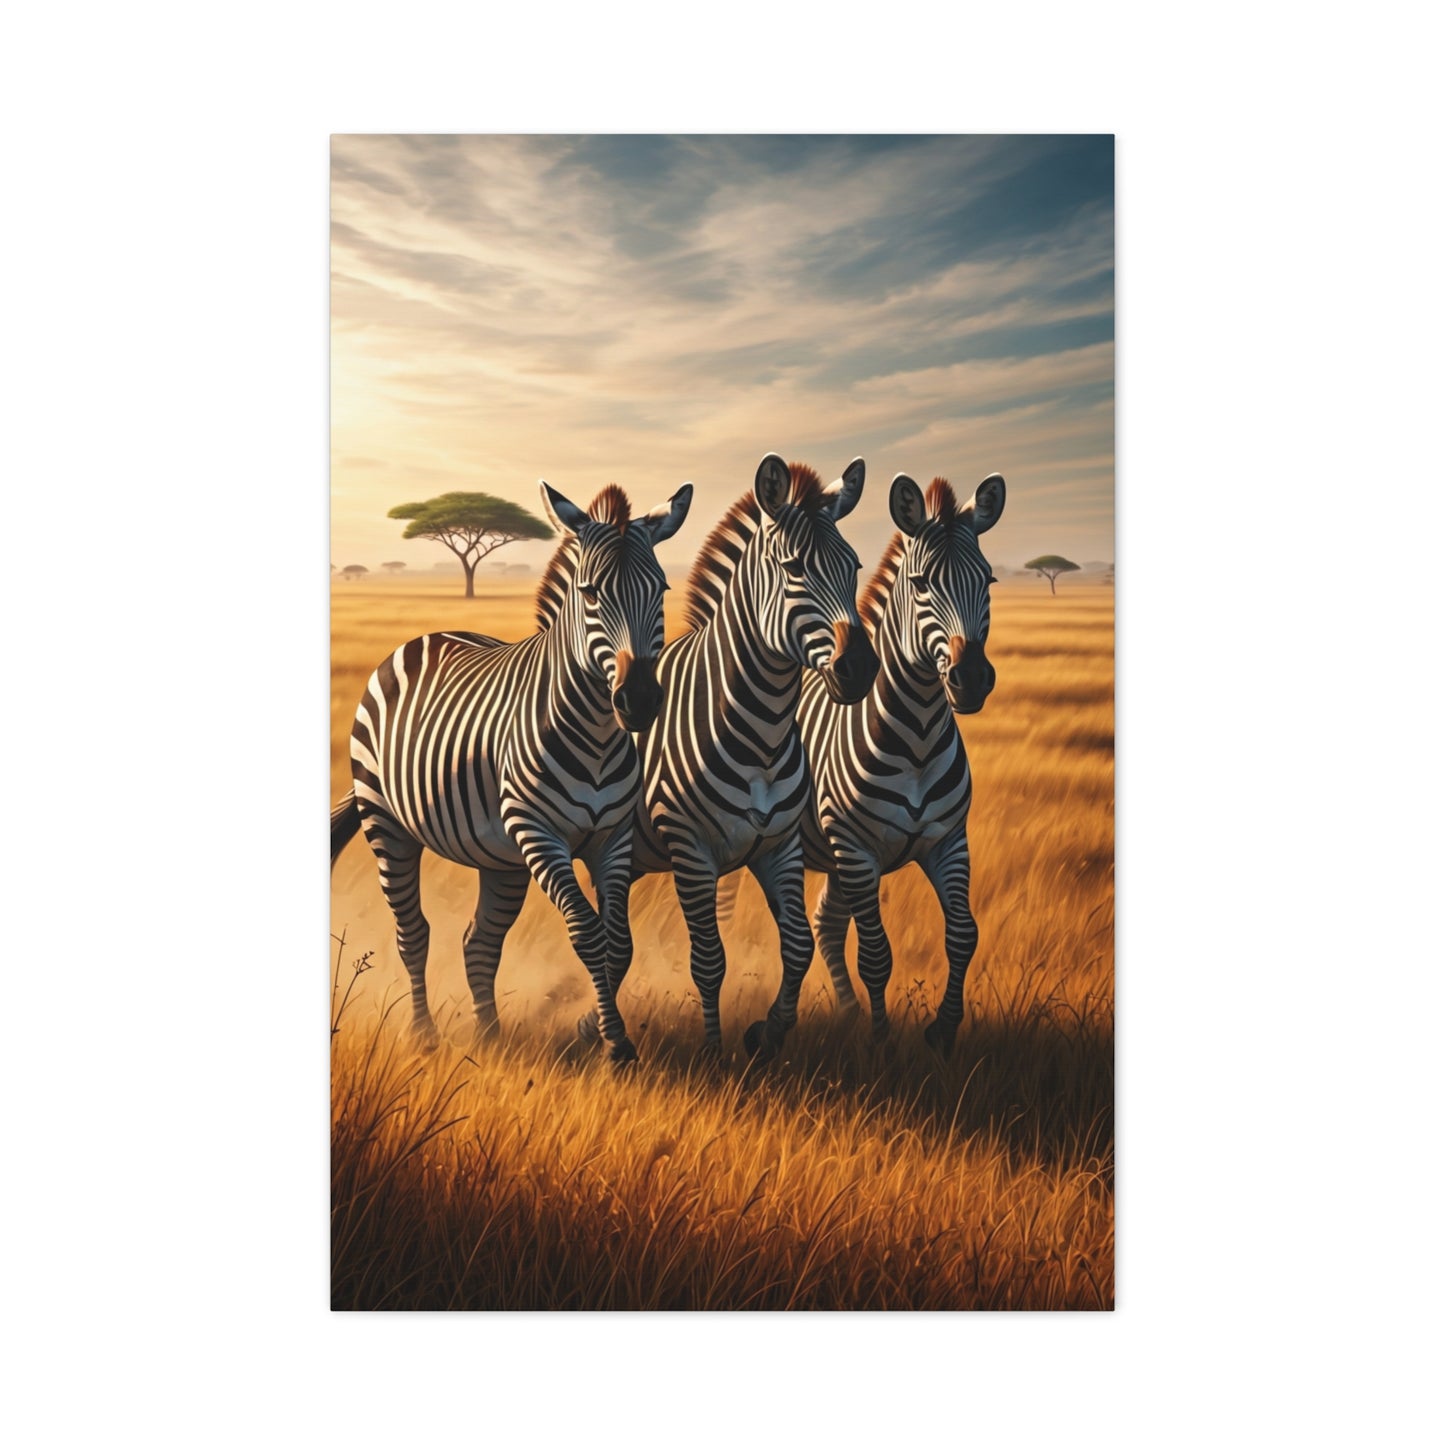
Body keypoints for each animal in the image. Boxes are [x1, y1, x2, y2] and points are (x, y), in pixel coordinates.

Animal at [329, 480, 693, 1064]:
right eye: (590, 593)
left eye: (660, 590)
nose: (638, 701)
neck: (596, 733)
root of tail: (425, 637)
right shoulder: (539, 832)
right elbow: (588, 934)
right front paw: (614, 1044)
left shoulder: (612, 837)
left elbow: (620, 941)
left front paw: (605, 1034)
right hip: (387, 823)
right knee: (414, 932)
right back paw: (424, 1036)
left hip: (498, 857)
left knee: (478, 939)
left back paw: (490, 1037)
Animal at [579, 453, 879, 1061]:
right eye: (794, 568)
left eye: (855, 566)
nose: (860, 670)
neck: (761, 735)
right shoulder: (692, 853)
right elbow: (709, 960)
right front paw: (716, 1055)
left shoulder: (779, 846)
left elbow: (797, 947)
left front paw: (767, 1033)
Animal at [796, 470, 1006, 1057]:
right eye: (921, 584)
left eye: (988, 580)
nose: (971, 679)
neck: (916, 739)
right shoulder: (857, 849)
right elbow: (876, 953)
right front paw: (883, 1042)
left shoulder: (948, 841)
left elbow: (964, 934)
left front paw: (943, 1030)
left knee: (824, 922)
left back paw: (846, 1013)